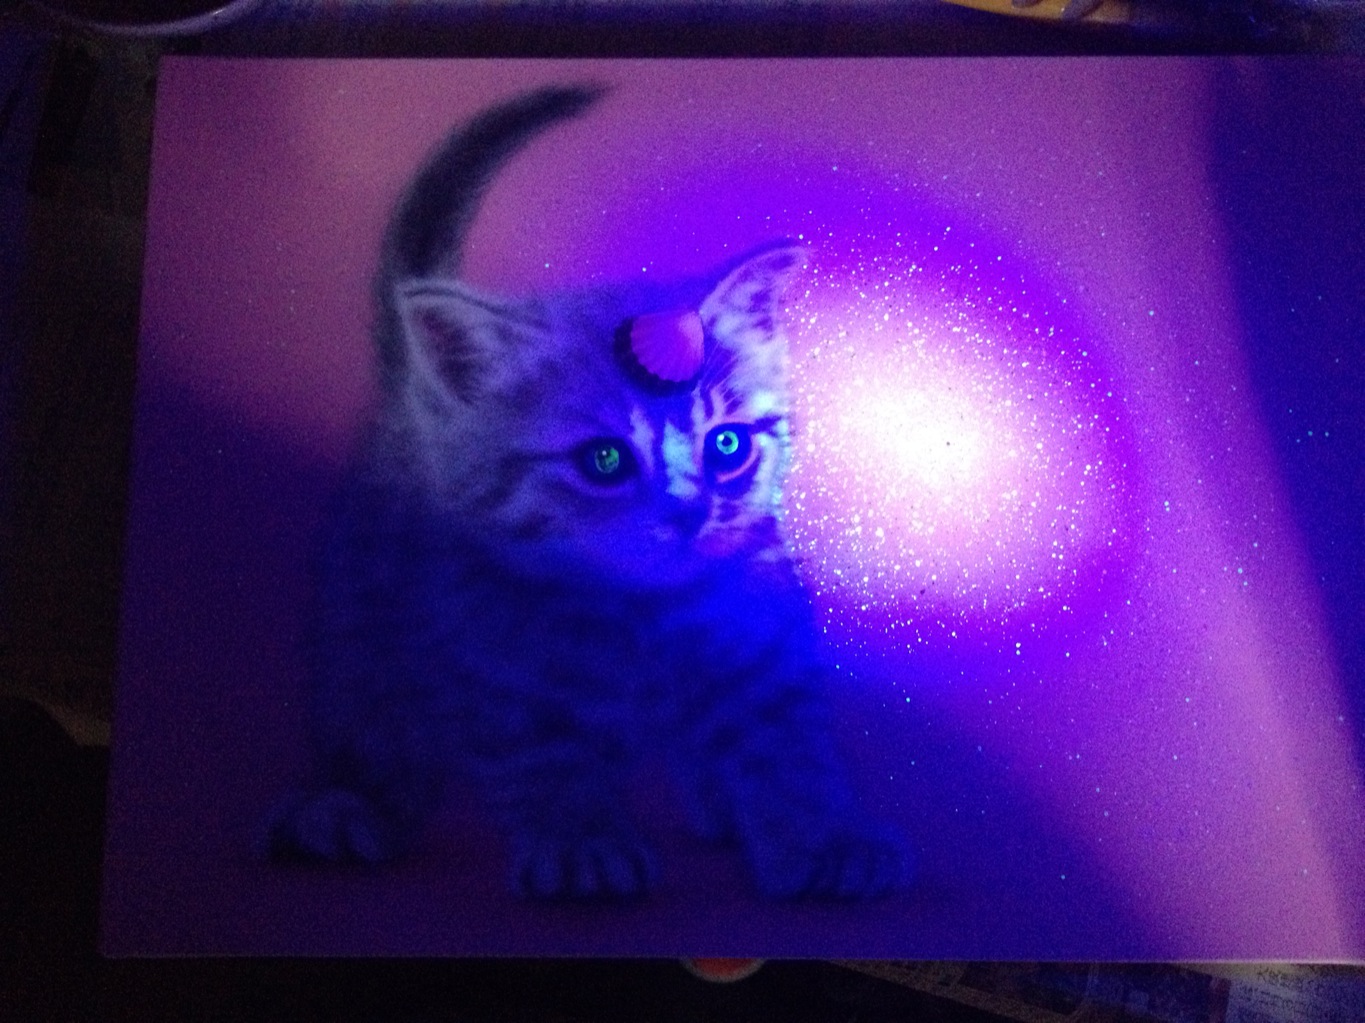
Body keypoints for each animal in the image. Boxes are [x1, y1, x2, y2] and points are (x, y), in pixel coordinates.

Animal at [266, 85, 907, 901]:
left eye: (726, 444)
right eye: (604, 459)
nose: (689, 510)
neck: (646, 614)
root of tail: (416, 398)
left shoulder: (761, 635)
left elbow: (783, 745)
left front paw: (826, 835)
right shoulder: (494, 656)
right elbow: (543, 753)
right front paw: (581, 841)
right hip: (368, 606)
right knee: (372, 702)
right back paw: (350, 802)